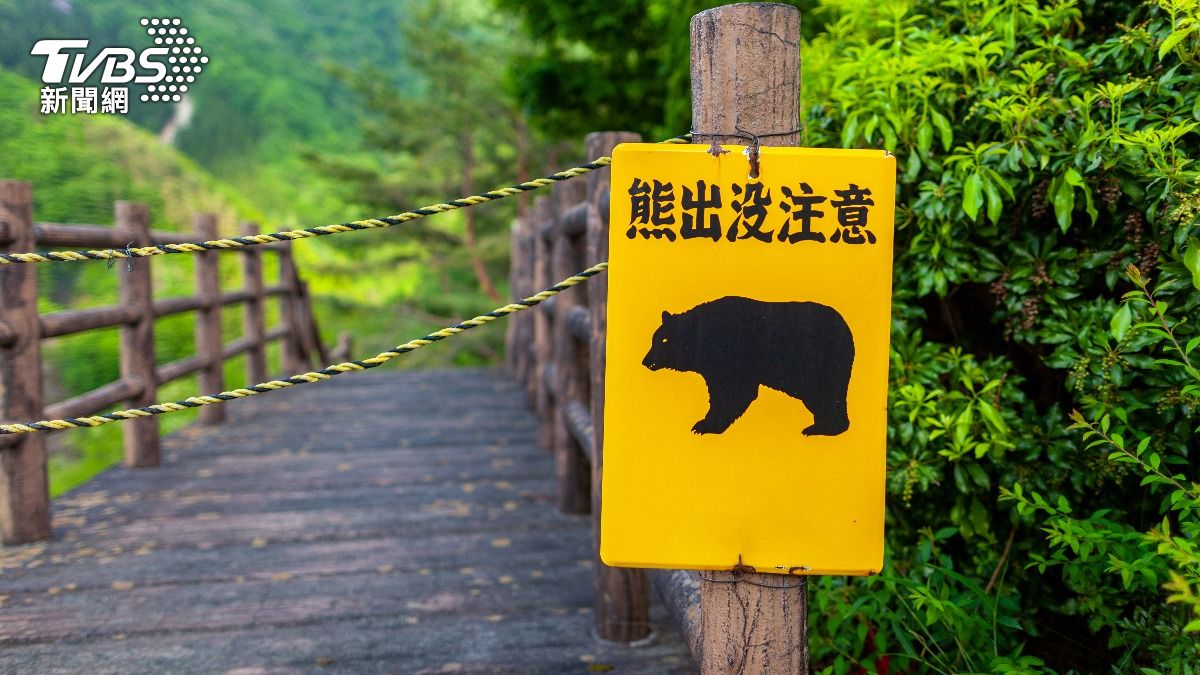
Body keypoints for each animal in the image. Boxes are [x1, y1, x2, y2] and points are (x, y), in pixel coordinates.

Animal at [641, 296, 855, 437]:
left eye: (664, 340)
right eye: (654, 339)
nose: (645, 361)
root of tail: (846, 327)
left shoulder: (732, 358)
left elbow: (733, 392)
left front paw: (704, 425)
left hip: (820, 364)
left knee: (827, 394)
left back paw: (823, 429)